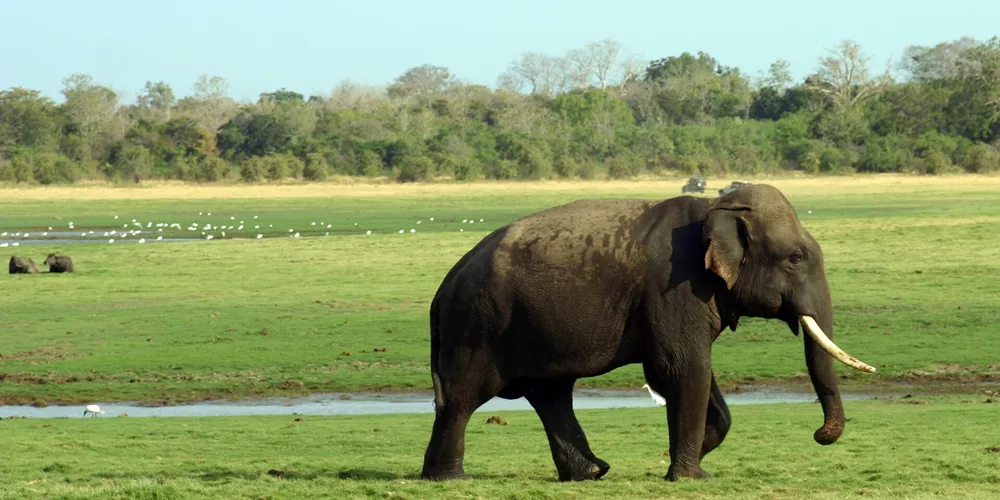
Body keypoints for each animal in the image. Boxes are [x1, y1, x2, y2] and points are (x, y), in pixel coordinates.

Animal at [420, 184, 875, 482]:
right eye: (795, 258)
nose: (819, 434)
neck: (716, 207)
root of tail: (443, 288)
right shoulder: (675, 287)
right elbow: (682, 367)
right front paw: (691, 477)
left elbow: (693, 373)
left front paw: (691, 455)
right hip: (478, 325)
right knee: (463, 398)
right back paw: (450, 479)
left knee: (550, 394)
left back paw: (592, 472)